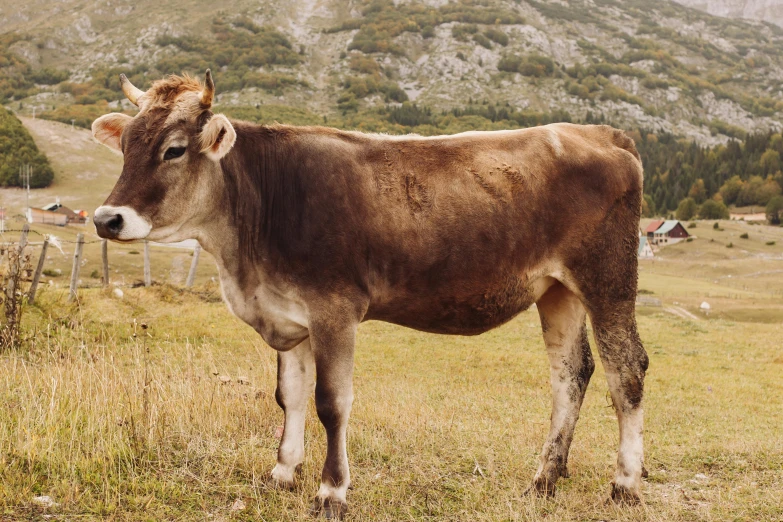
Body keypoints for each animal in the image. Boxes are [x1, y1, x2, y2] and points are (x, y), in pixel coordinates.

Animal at [92, 72, 648, 516]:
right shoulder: (289, 315)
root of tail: (599, 132)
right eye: (126, 145)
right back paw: (544, 479)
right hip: (557, 290)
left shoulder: (334, 310)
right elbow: (289, 396)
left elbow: (331, 402)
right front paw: (282, 473)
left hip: (608, 278)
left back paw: (624, 485)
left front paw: (331, 492)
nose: (105, 219)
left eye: (174, 149)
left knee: (626, 370)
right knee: (570, 374)